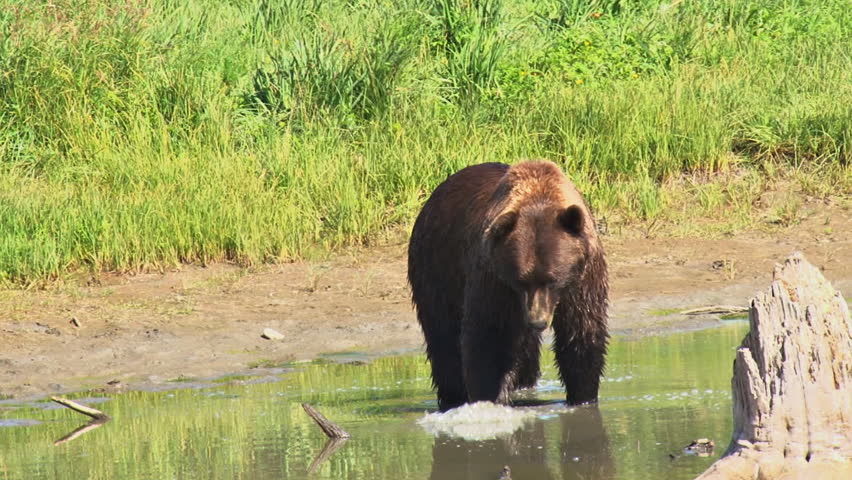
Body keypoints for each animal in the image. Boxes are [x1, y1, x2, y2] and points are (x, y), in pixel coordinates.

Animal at [408, 160, 609, 411]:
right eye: (521, 280)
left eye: (552, 279)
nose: (537, 321)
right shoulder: (494, 278)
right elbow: (489, 336)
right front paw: (488, 400)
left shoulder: (583, 277)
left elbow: (582, 330)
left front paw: (583, 398)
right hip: (436, 268)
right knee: (443, 335)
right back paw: (452, 395)